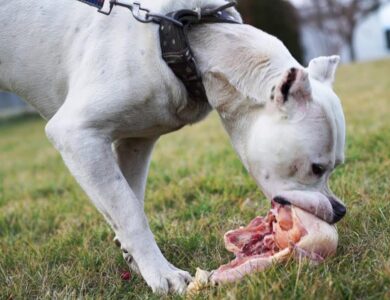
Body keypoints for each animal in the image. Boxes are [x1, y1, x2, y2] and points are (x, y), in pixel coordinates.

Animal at [0, 0, 348, 296]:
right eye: (316, 168)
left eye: (336, 166)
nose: (340, 211)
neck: (185, 42)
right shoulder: (77, 135)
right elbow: (130, 212)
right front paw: (162, 274)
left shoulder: (136, 143)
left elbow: (130, 200)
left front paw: (136, 258)